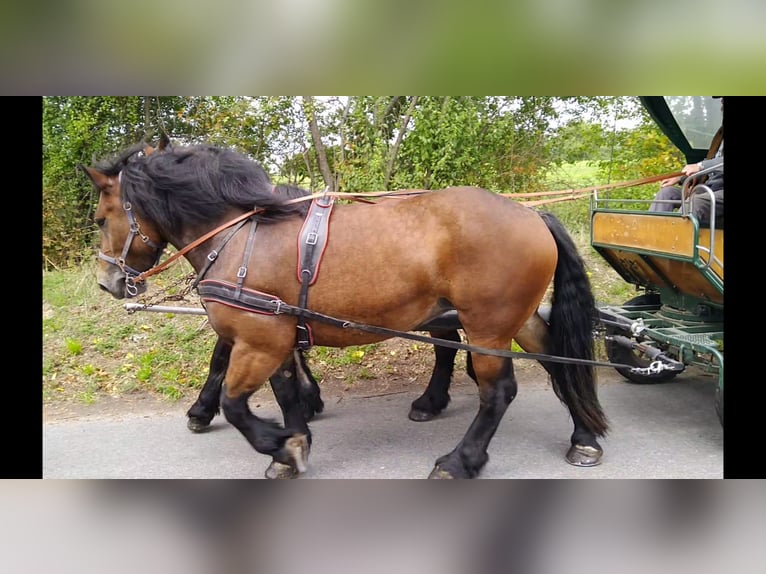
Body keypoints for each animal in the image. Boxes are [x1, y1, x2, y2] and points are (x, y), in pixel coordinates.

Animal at [81, 142, 608, 480]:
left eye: (102, 218)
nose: (109, 282)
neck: (243, 232)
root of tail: (530, 213)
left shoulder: (258, 339)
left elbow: (234, 401)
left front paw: (280, 444)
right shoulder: (277, 338)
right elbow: (285, 393)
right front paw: (291, 443)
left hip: (487, 327)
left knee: (498, 392)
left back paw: (460, 461)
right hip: (511, 320)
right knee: (558, 362)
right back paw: (584, 437)